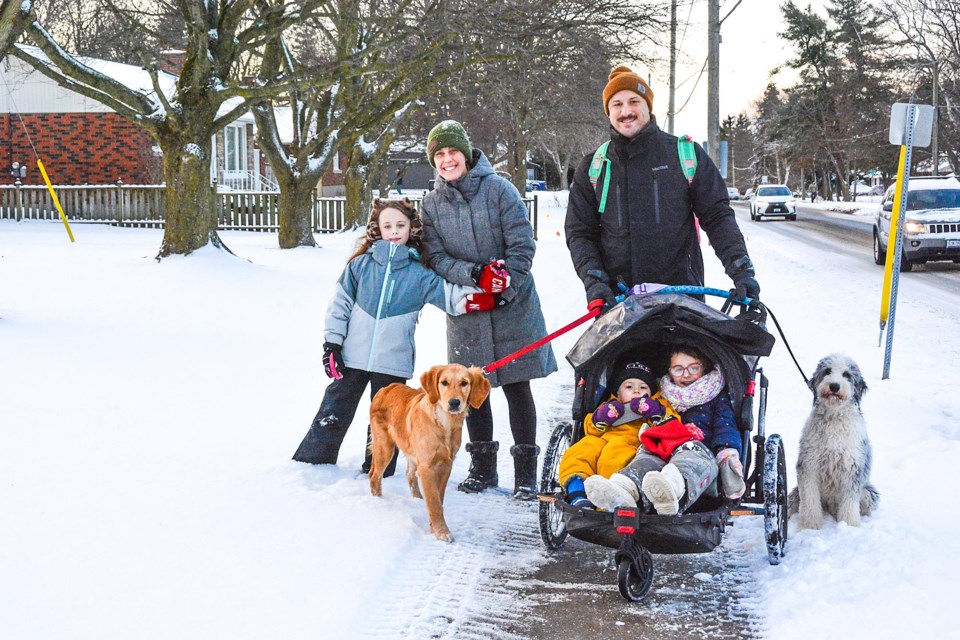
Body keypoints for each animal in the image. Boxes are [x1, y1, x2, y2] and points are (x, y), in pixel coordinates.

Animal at [788, 352, 876, 528]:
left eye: (847, 374)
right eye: (827, 371)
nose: (834, 386)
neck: (834, 418)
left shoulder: (853, 467)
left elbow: (849, 503)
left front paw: (849, 525)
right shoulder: (809, 464)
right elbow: (810, 499)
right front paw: (809, 526)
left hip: (867, 493)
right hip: (795, 493)